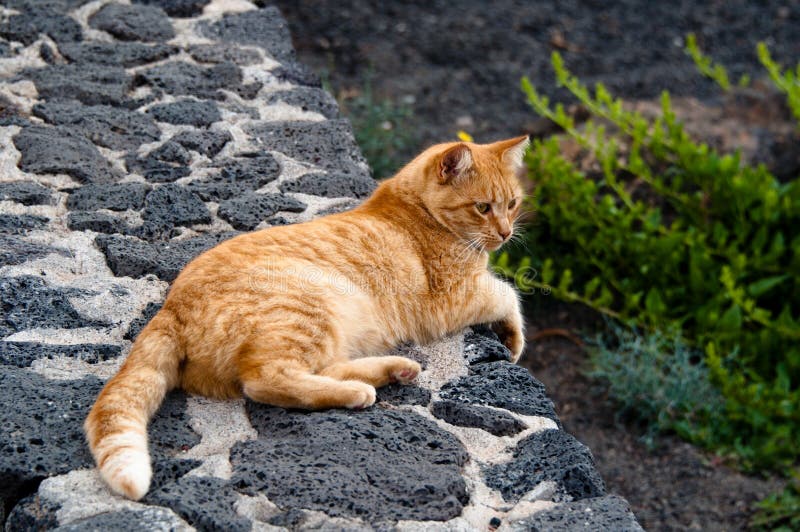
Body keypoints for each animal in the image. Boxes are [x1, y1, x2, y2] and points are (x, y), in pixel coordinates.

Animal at [86, 135, 532, 500]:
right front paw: (513, 337)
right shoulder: (452, 298)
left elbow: (503, 289)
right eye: (482, 208)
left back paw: (394, 371)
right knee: (267, 380)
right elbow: (506, 292)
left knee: (323, 368)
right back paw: (356, 393)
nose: (506, 233)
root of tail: (171, 306)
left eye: (512, 204)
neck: (413, 209)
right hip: (308, 307)